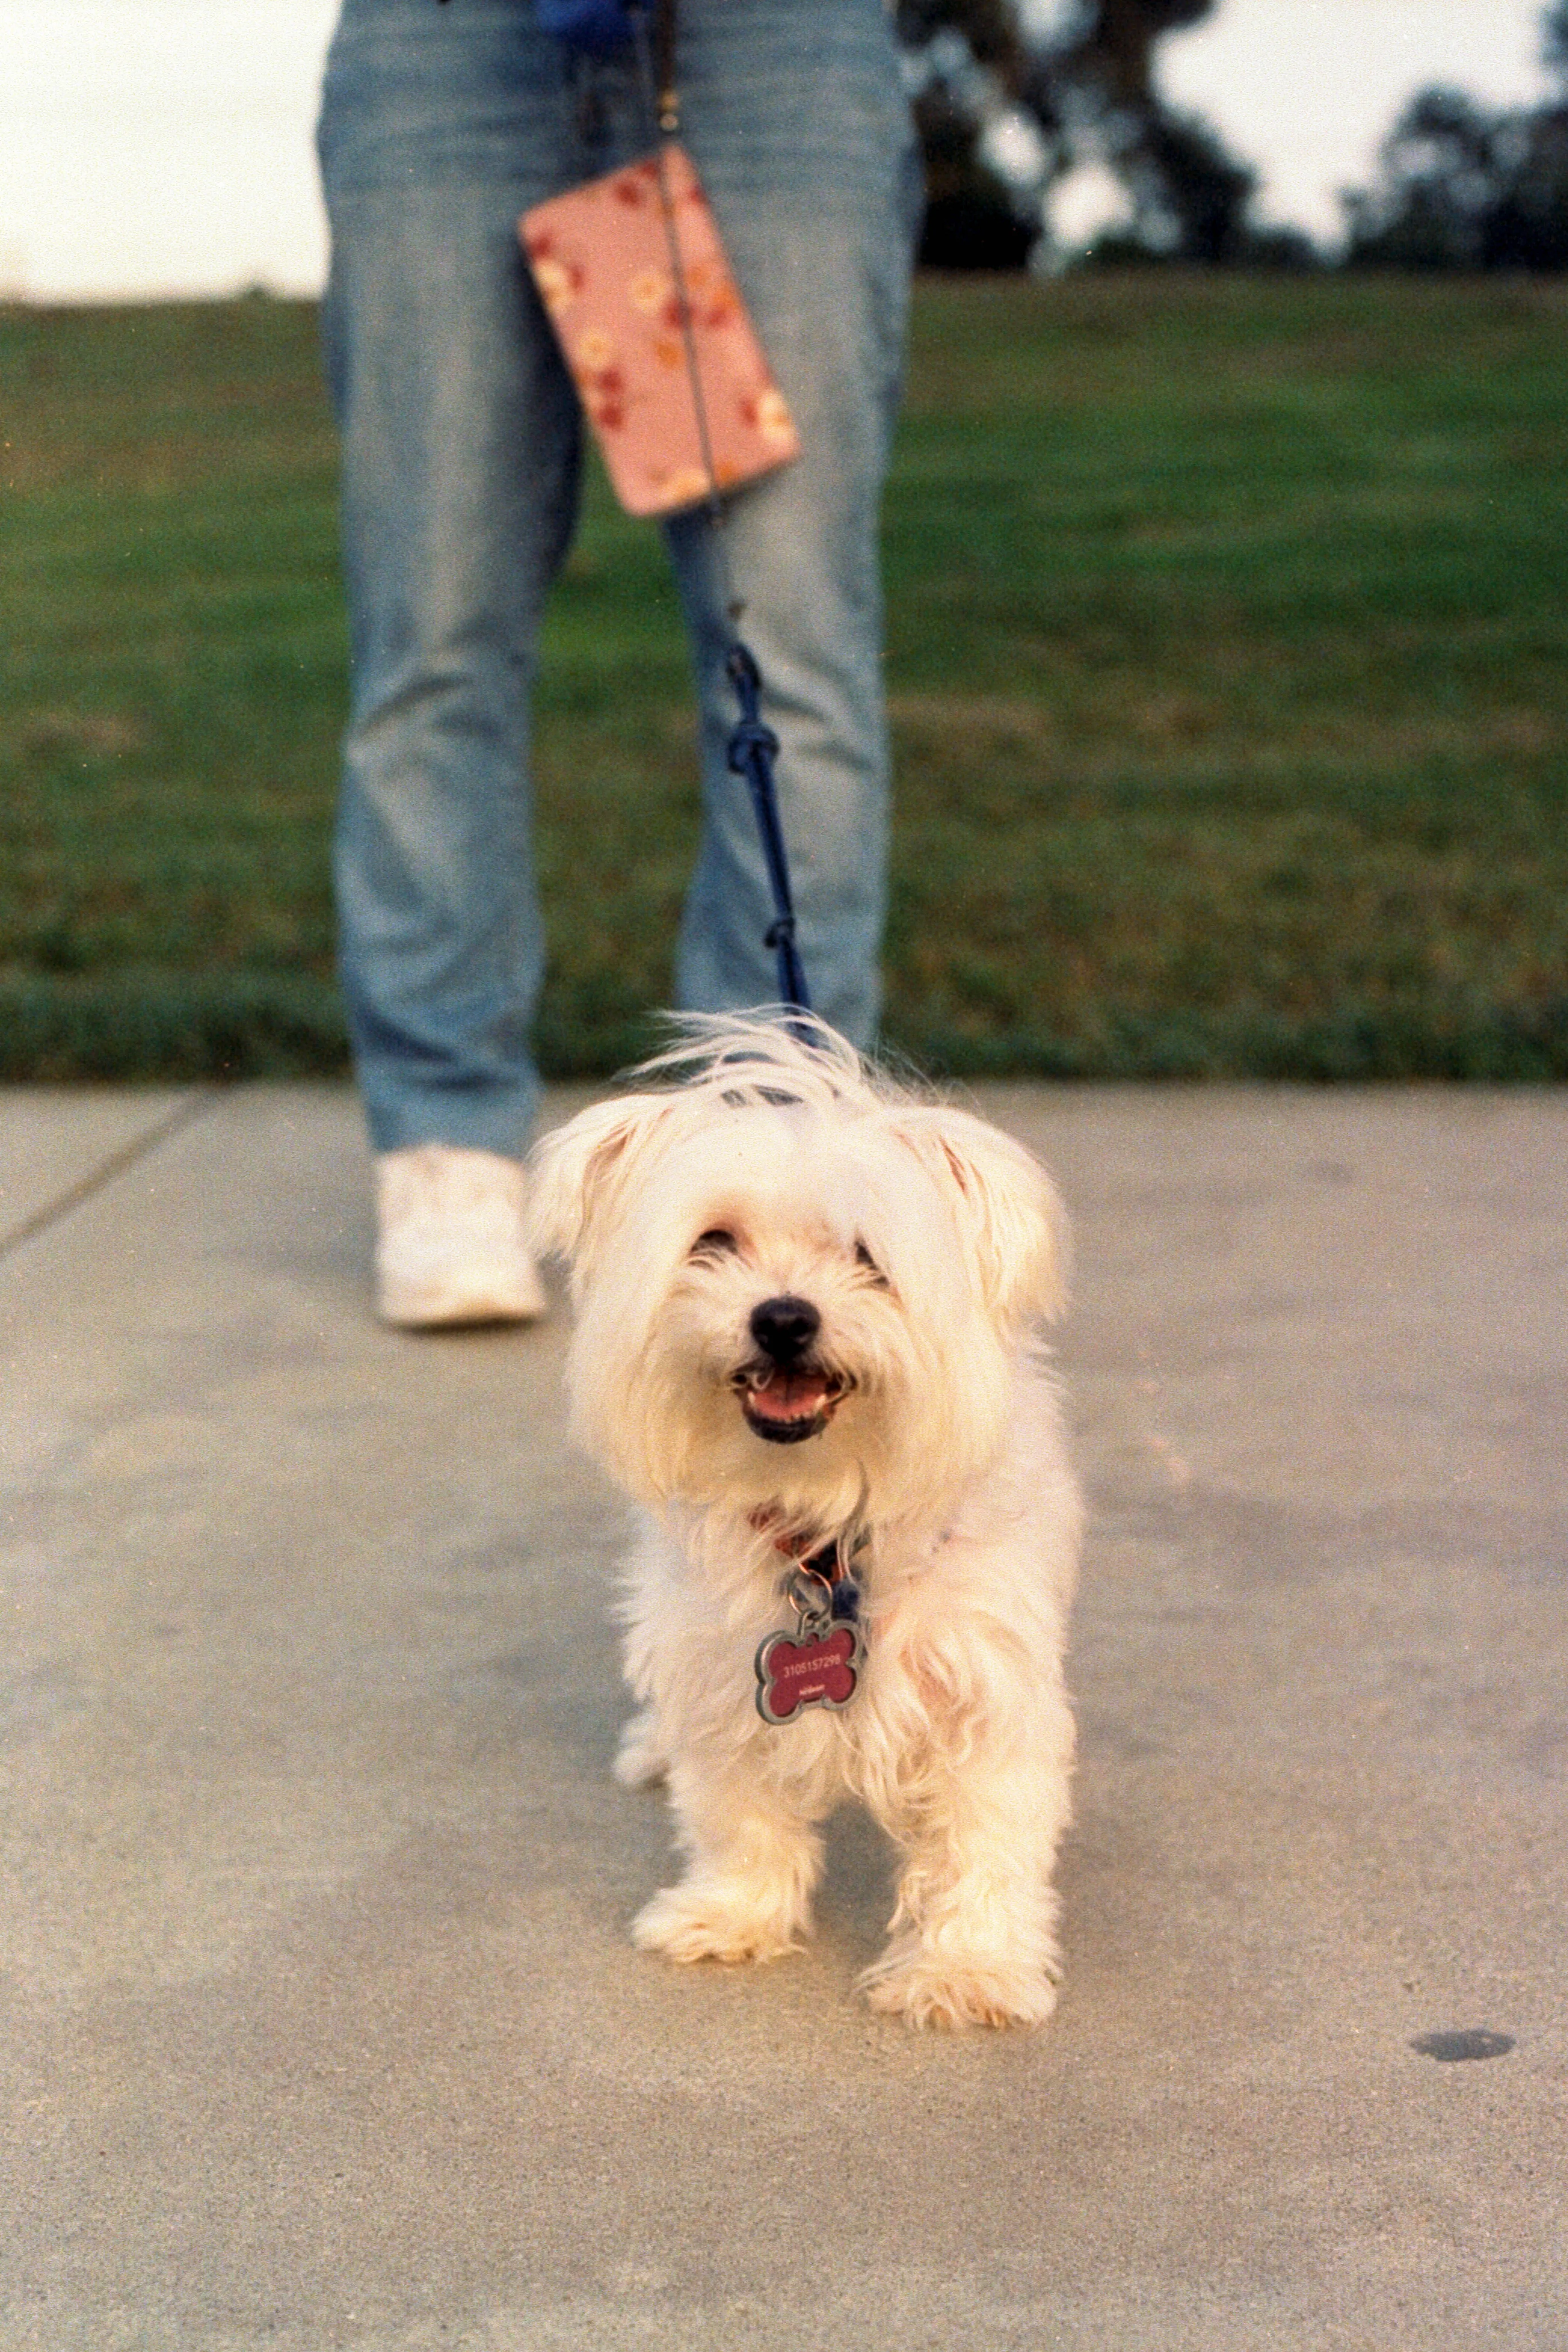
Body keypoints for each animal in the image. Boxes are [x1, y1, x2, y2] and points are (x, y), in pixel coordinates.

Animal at [527, 1021, 1081, 2032]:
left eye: (869, 1256)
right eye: (713, 1241)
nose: (782, 1317)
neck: (824, 1522)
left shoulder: (987, 1690)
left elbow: (984, 1842)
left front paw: (967, 1968)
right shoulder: (721, 1673)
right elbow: (737, 1814)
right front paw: (730, 1913)